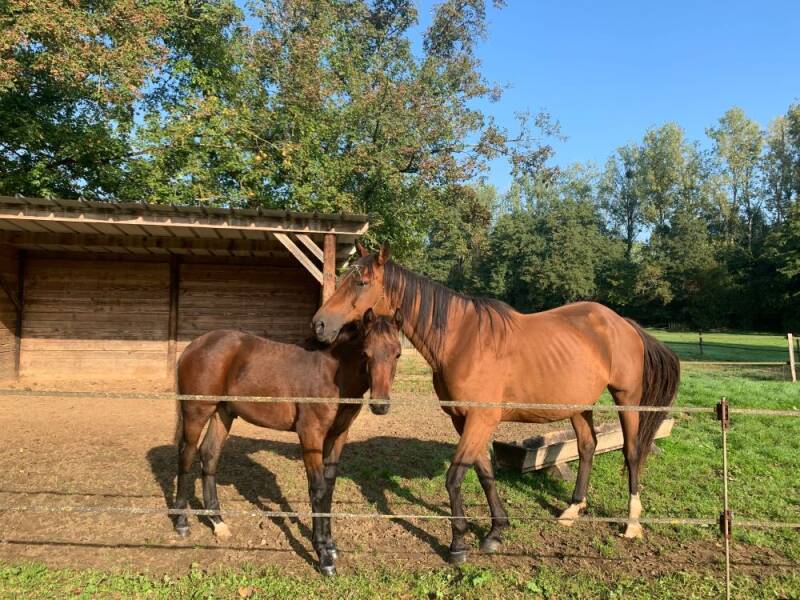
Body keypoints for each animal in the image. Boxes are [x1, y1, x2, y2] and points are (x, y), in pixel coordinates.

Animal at [173, 308, 403, 576]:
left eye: (397, 353)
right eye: (365, 353)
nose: (380, 405)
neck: (331, 374)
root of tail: (194, 346)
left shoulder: (337, 436)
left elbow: (329, 488)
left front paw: (330, 544)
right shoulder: (310, 434)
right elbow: (317, 489)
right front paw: (323, 555)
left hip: (223, 413)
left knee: (209, 456)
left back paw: (218, 522)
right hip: (197, 412)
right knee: (186, 456)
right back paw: (181, 522)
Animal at [311, 243, 680, 565]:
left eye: (361, 282)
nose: (319, 324)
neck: (462, 340)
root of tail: (623, 324)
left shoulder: (480, 419)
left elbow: (455, 477)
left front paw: (458, 544)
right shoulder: (464, 420)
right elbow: (485, 473)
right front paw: (496, 531)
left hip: (627, 400)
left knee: (632, 453)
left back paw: (632, 523)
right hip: (578, 405)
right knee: (588, 446)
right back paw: (573, 509)